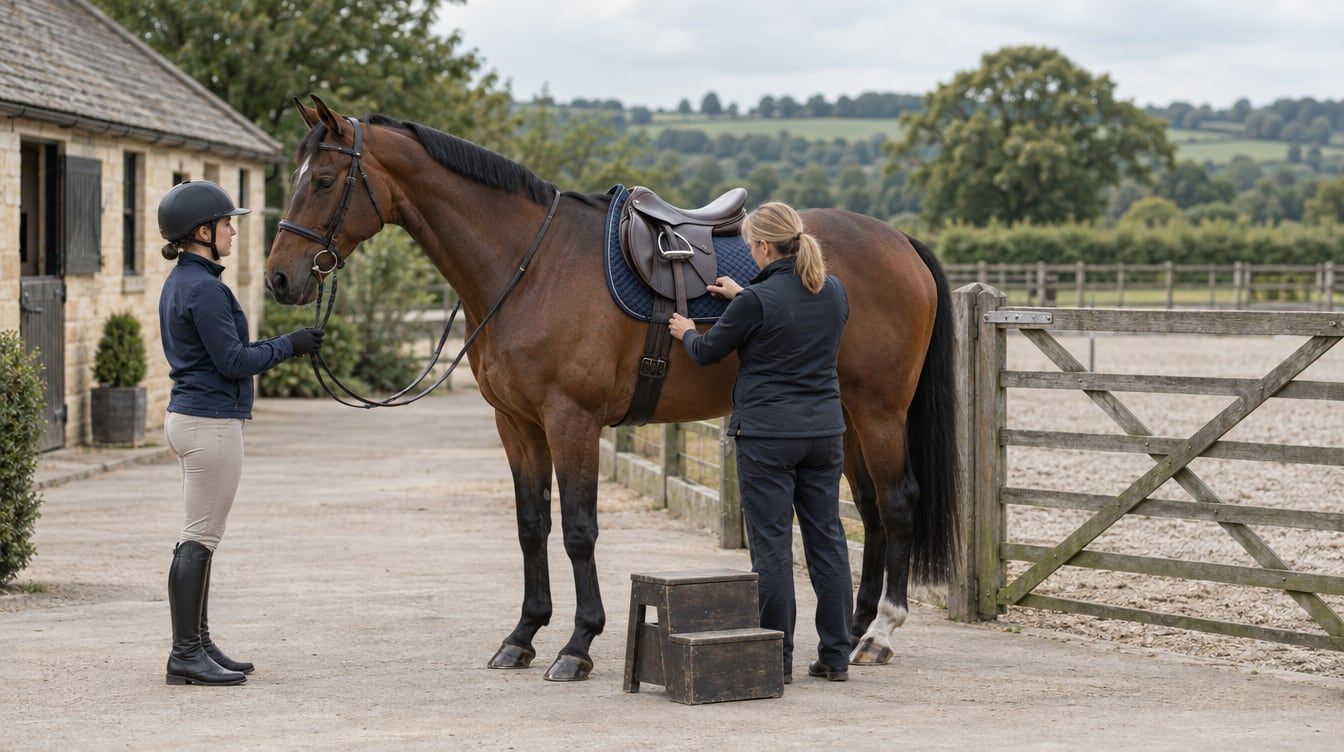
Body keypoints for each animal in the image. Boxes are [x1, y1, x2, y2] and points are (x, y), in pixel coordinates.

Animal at [266, 97, 958, 682]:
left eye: (323, 181)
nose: (279, 278)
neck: (529, 265)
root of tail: (899, 242)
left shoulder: (571, 420)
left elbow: (578, 529)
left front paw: (578, 645)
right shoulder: (517, 424)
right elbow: (531, 525)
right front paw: (522, 636)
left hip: (879, 411)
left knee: (896, 503)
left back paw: (882, 634)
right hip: (844, 416)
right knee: (866, 513)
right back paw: (853, 631)